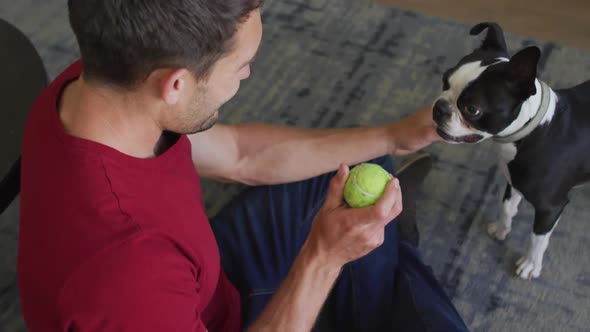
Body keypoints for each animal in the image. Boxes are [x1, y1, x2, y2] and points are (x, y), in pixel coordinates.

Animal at [434, 22, 590, 278]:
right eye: (445, 79)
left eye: (472, 109)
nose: (439, 107)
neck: (534, 129)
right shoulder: (514, 177)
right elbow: (507, 206)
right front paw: (501, 228)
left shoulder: (550, 207)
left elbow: (537, 238)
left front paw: (531, 264)